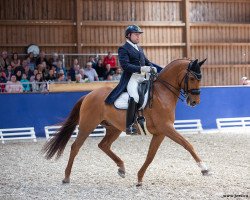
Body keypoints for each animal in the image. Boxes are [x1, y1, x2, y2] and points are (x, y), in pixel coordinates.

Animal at [43, 58, 209, 187]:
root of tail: (88, 95)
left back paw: (121, 168)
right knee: (75, 147)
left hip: (114, 128)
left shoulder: (160, 133)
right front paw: (204, 168)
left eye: (200, 78)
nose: (195, 102)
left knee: (103, 145)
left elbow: (150, 155)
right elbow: (187, 144)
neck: (162, 94)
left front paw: (139, 178)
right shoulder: (166, 128)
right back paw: (66, 177)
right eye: (192, 78)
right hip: (87, 125)